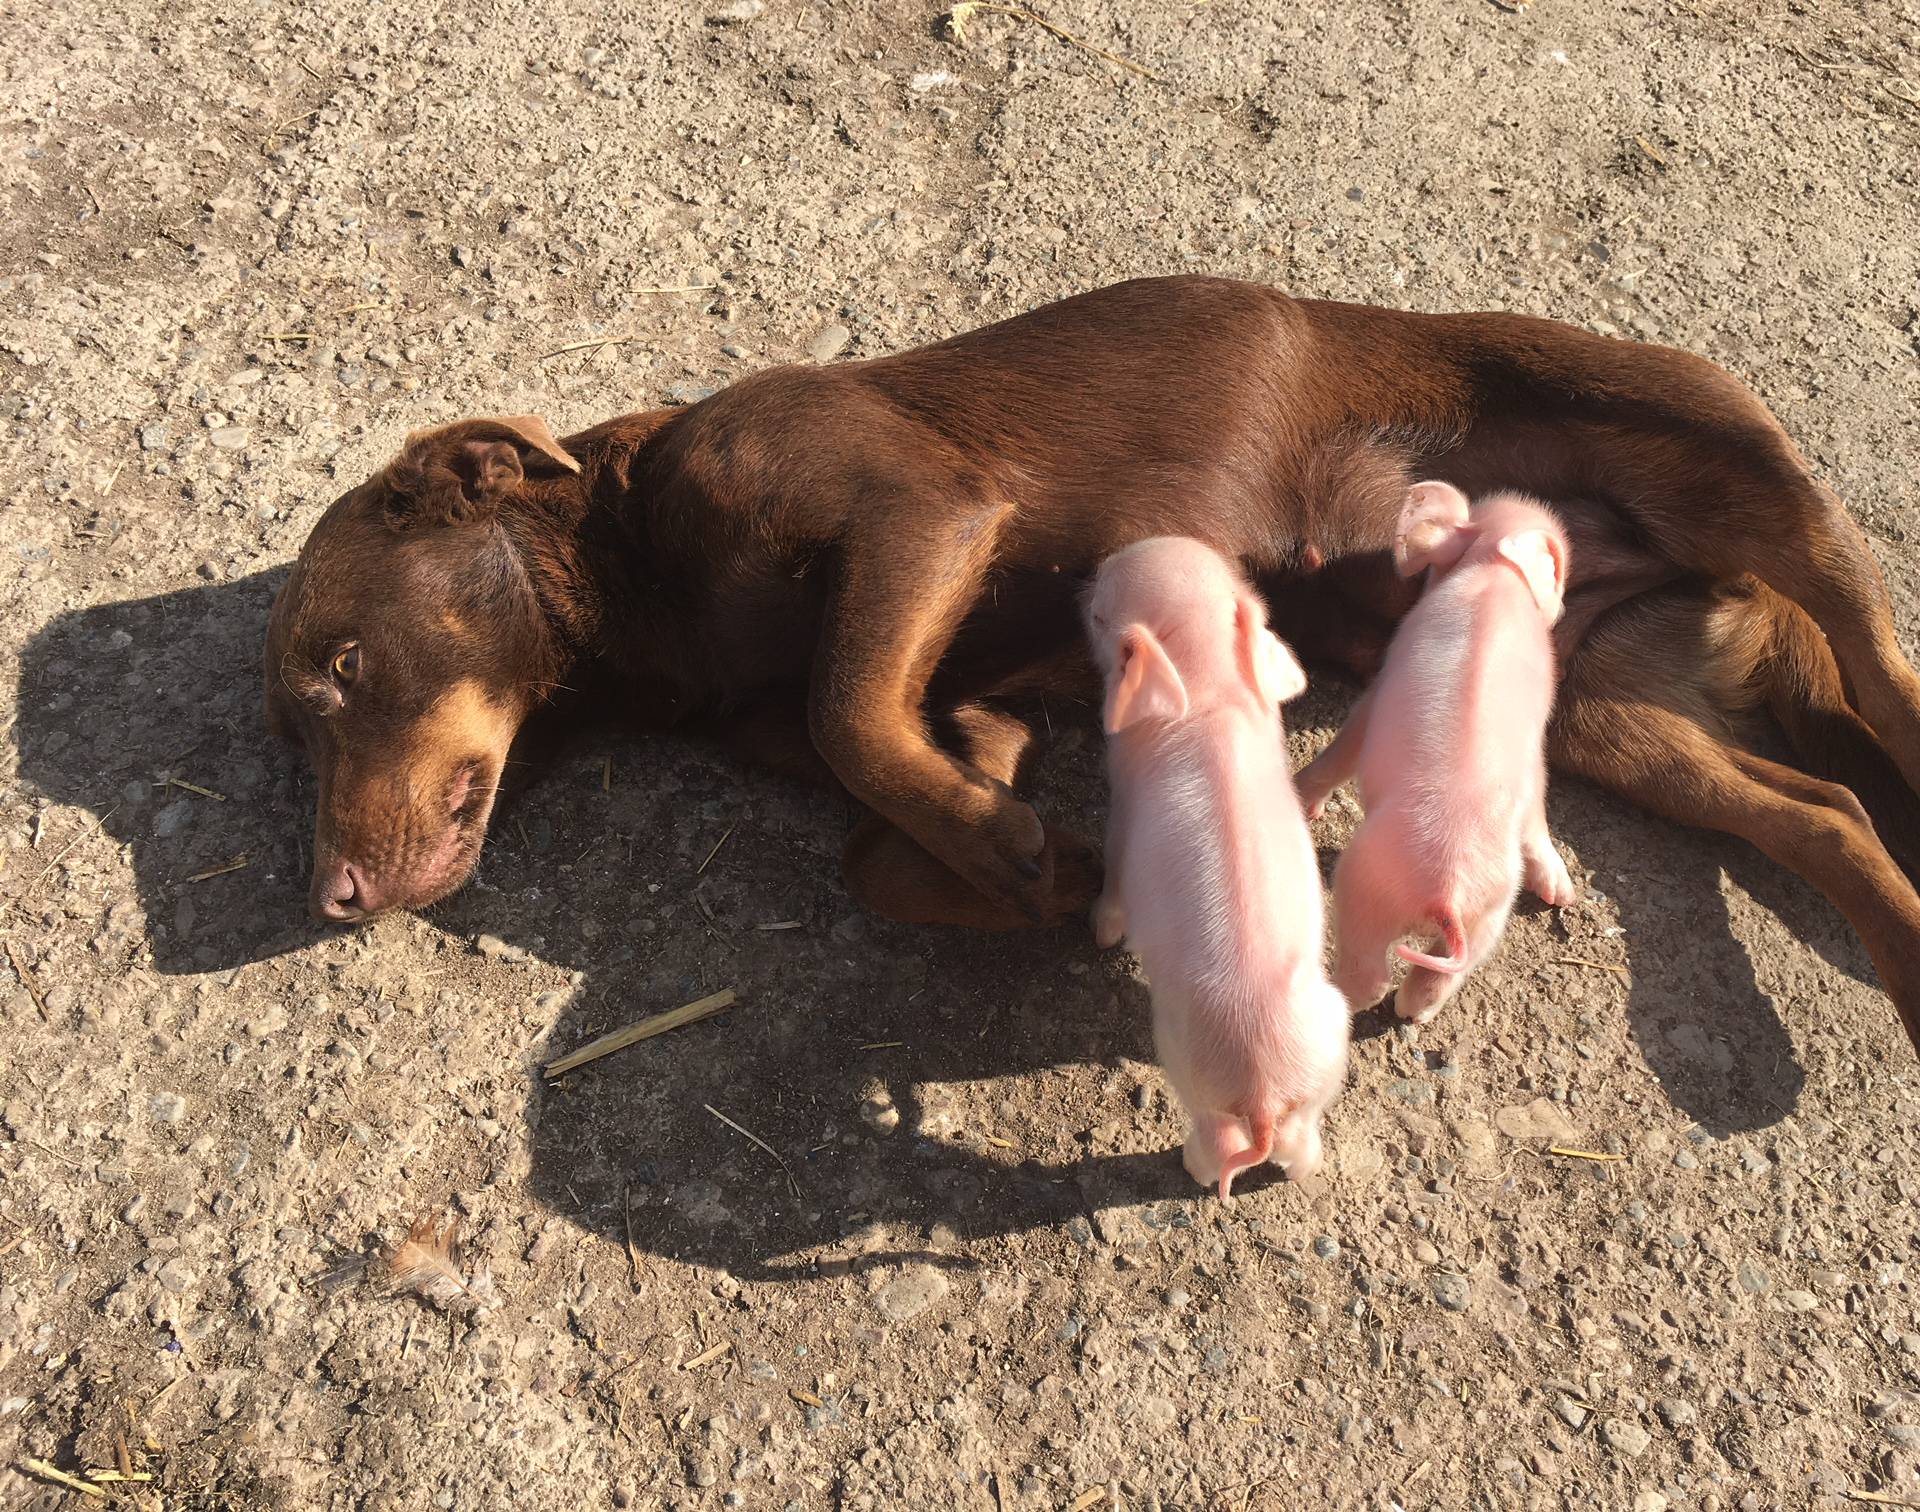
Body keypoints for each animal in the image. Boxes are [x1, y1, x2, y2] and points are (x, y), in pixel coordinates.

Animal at [266, 274, 1920, 1051]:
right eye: (301, 715)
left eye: (339, 667)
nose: (326, 897)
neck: (639, 565)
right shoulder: (954, 689)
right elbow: (890, 823)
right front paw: (1047, 859)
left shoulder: (917, 510)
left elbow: (853, 714)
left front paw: (1014, 848)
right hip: (1618, 715)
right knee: (1825, 813)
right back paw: (1902, 954)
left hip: (1739, 471)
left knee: (1882, 675)